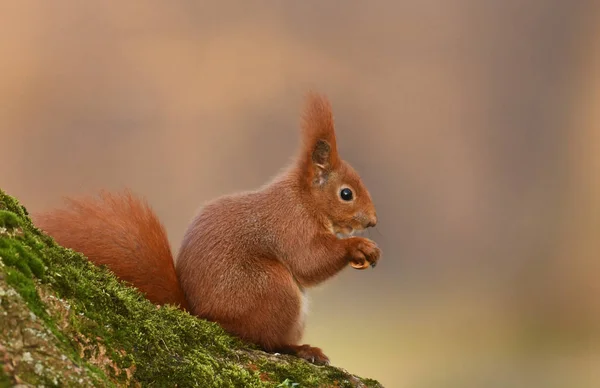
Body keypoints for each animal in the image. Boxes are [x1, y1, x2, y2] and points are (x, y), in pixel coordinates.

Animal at [32, 92, 380, 366]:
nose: (372, 222)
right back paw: (302, 349)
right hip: (272, 288)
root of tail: (203, 315)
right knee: (267, 341)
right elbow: (309, 261)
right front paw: (359, 247)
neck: (304, 199)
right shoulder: (290, 224)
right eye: (346, 194)